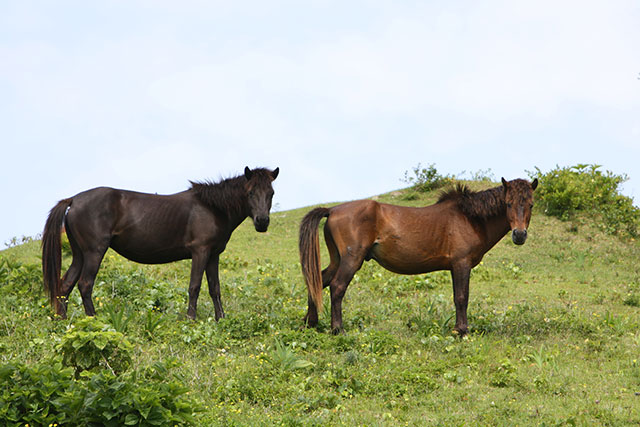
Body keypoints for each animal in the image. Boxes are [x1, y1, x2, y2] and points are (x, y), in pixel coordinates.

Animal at [42, 167, 278, 320]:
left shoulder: (213, 255)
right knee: (85, 284)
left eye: (271, 193)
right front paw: (190, 319)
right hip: (94, 252)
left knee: (65, 285)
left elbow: (215, 289)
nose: (262, 222)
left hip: (79, 254)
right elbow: (195, 286)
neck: (212, 208)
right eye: (250, 192)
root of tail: (73, 200)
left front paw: (221, 319)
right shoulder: (200, 251)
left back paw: (63, 322)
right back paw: (93, 319)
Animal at [298, 178, 536, 338]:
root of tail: (333, 210)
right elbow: (461, 297)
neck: (470, 218)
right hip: (351, 260)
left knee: (318, 281)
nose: (519, 235)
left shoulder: (455, 267)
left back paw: (311, 323)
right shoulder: (461, 264)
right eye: (507, 203)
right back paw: (337, 329)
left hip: (337, 259)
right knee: (337, 287)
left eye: (531, 204)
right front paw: (461, 331)